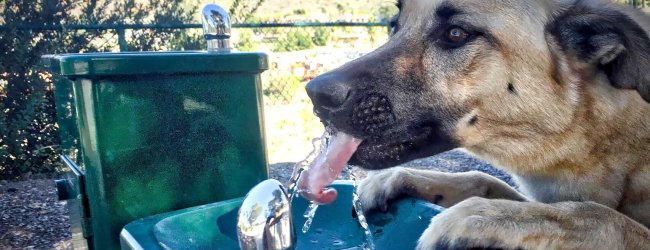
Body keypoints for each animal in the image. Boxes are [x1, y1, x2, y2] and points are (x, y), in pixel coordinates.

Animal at [304, 0, 648, 249]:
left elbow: (598, 215)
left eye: (456, 34)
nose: (315, 93)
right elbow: (483, 179)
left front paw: (480, 215)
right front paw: (400, 178)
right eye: (394, 25)